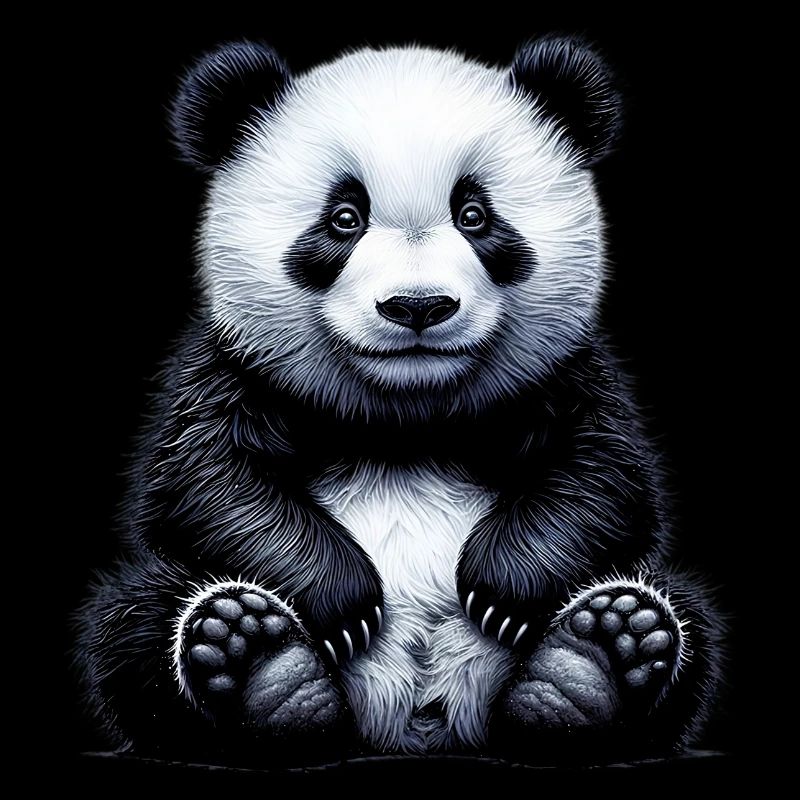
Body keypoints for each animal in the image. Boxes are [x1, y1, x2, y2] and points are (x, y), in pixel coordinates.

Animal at [76, 36, 721, 762]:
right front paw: (345, 603)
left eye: (474, 215)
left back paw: (589, 668)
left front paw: (502, 588)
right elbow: (205, 479)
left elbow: (603, 474)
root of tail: (414, 721)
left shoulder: (565, 370)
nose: (417, 306)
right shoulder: (234, 364)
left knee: (681, 610)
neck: (405, 415)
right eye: (344, 219)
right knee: (131, 621)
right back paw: (265, 672)